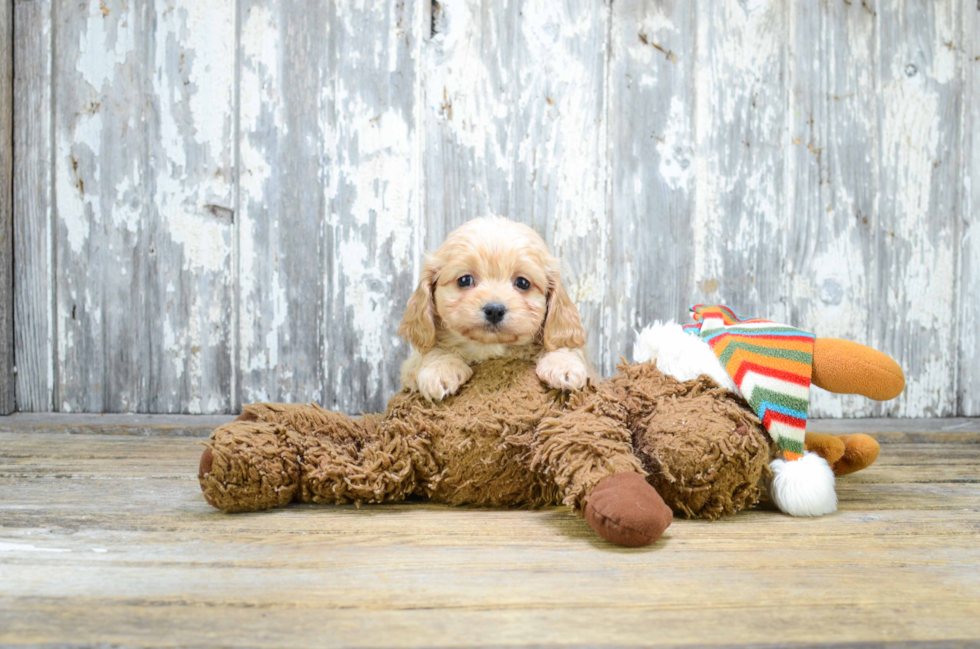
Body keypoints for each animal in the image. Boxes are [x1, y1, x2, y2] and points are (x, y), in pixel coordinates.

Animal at [398, 218, 588, 400]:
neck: (489, 348)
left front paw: (563, 364)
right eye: (464, 280)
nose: (494, 310)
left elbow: (561, 345)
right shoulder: (410, 366)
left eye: (523, 283)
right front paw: (441, 368)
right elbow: (429, 351)